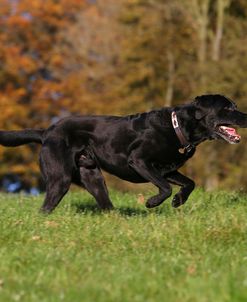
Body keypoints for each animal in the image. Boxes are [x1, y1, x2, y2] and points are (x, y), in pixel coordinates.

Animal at [0, 94, 247, 212]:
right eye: (228, 108)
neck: (177, 127)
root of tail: (47, 131)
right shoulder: (139, 161)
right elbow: (165, 188)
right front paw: (152, 203)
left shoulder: (167, 170)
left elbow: (190, 183)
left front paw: (178, 201)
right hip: (59, 178)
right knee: (45, 207)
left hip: (93, 178)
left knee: (106, 204)